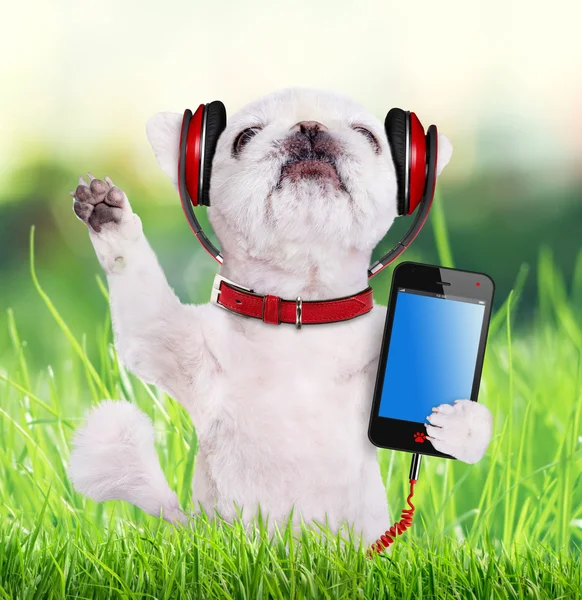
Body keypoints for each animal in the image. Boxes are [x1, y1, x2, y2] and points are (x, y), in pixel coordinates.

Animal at [68, 88, 498, 544]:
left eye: (368, 135)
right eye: (245, 136)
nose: (310, 127)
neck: (300, 309)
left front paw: (459, 426)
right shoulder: (165, 342)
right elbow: (138, 282)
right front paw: (110, 218)